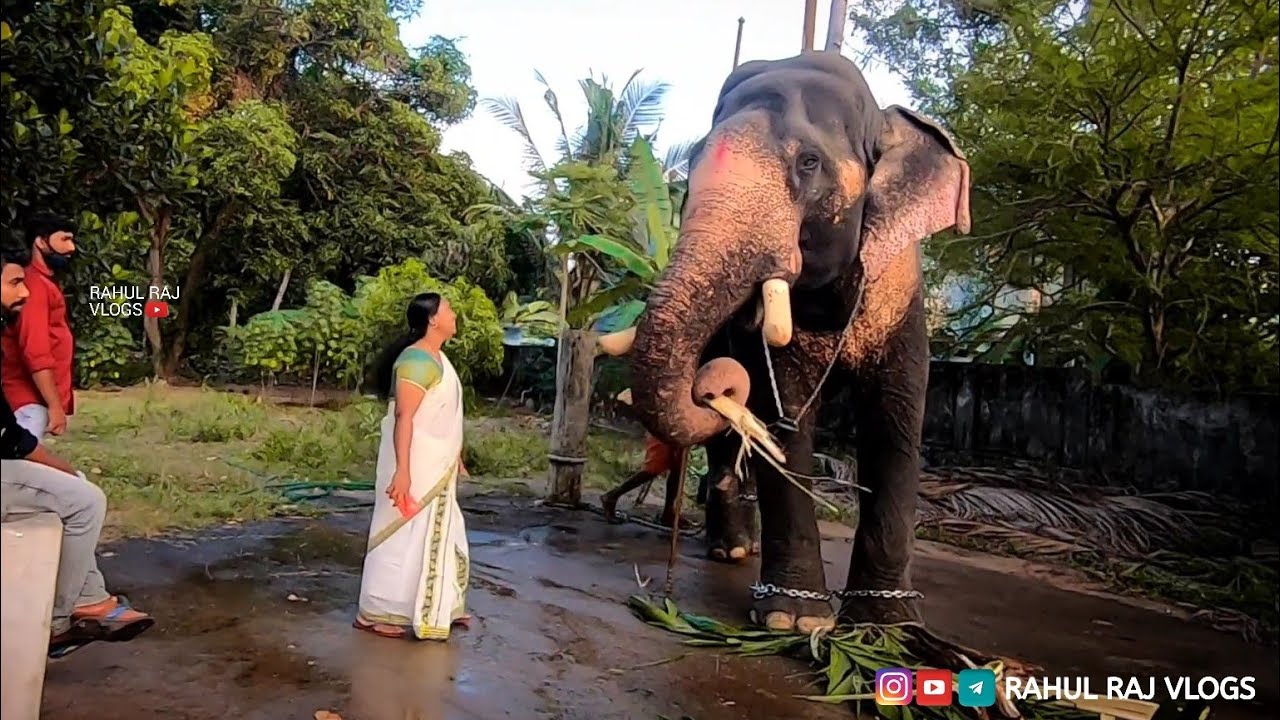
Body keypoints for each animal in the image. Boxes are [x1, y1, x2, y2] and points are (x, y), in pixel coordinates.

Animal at [598, 51, 970, 632]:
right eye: (693, 161)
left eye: (809, 162)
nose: (716, 386)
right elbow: (784, 419)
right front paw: (793, 622)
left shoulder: (903, 295)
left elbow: (894, 424)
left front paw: (886, 626)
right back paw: (730, 551)